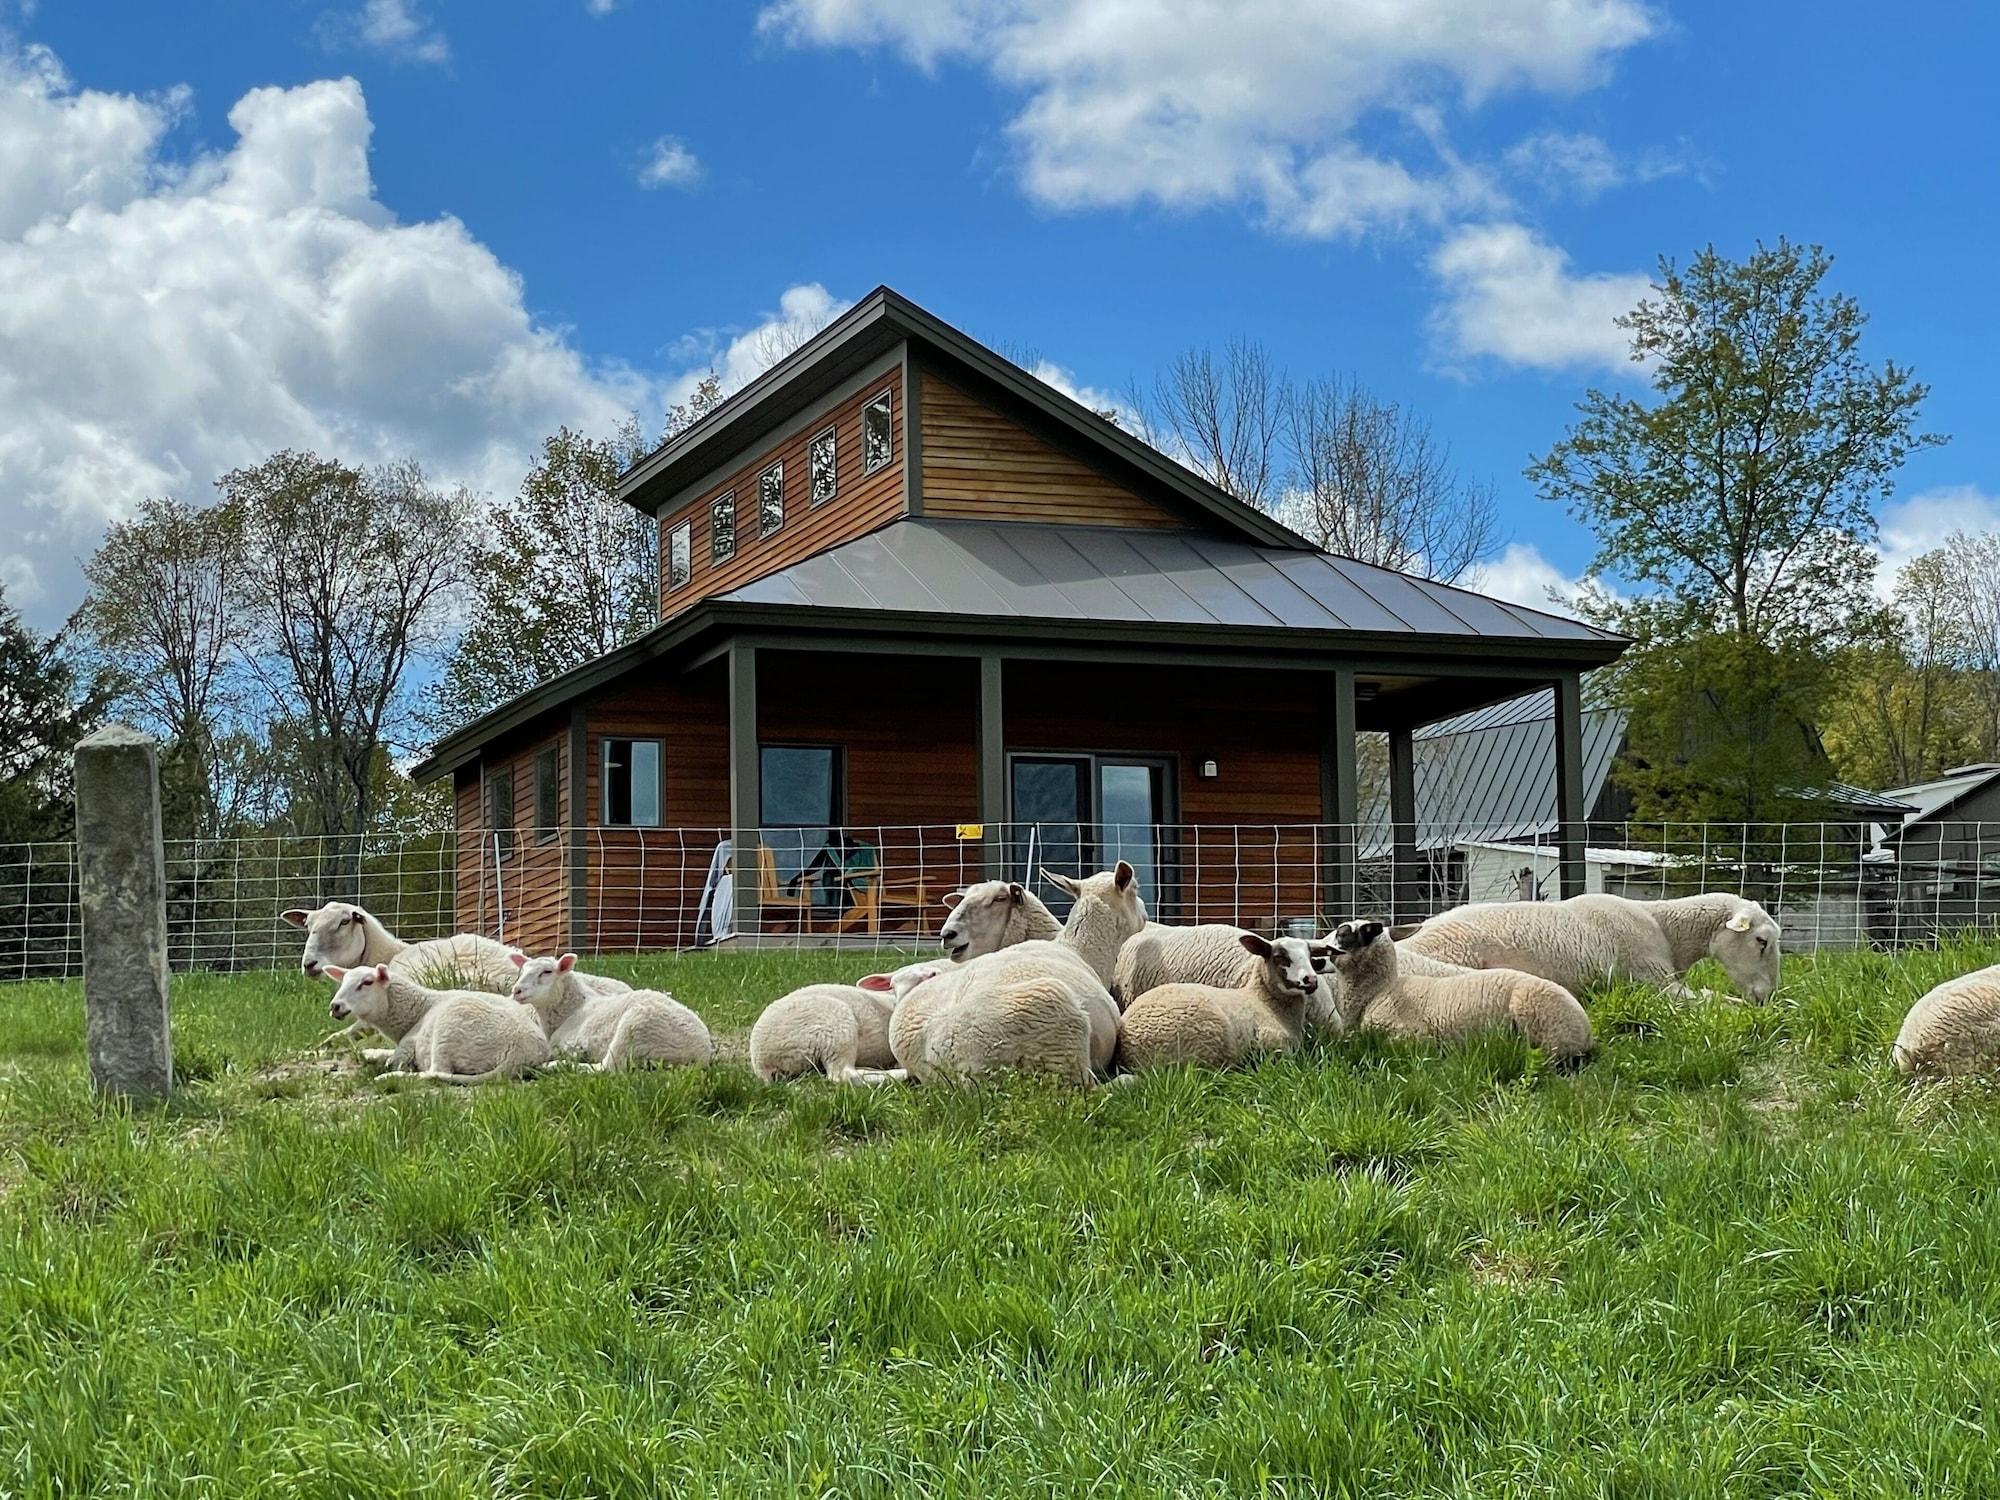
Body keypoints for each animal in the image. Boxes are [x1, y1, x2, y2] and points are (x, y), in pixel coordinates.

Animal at [323, 961, 550, 1084]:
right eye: (342, 982)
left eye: (367, 982)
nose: (335, 1006)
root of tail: (520, 1055)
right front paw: (370, 1054)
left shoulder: (407, 1047)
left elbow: (396, 1059)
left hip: (449, 1030)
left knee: (437, 1072)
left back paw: (391, 1077)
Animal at [508, 952, 713, 1072]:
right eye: (521, 971)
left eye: (547, 972)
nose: (517, 990)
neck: (572, 1009)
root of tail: (702, 1052)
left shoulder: (570, 1045)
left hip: (636, 1027)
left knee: (607, 1068)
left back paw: (554, 1066)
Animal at [1116, 933, 1333, 1075]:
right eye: (1280, 957)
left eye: (1310, 956)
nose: (1311, 980)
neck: (1266, 1002)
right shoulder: (1272, 1043)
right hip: (1208, 1046)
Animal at [1329, 918, 1593, 1065]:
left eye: (1342, 934)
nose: (1323, 953)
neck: (1380, 991)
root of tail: (1586, 1031)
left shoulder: (1409, 1036)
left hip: (1544, 1026)